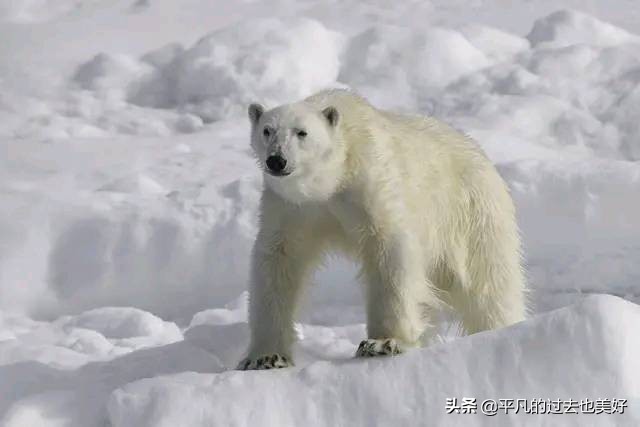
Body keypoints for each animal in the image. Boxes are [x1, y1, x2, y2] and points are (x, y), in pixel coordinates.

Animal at [238, 88, 528, 370]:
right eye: (267, 130)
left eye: (302, 132)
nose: (277, 160)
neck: (332, 178)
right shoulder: (290, 206)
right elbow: (278, 260)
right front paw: (265, 357)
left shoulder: (370, 181)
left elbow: (389, 250)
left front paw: (383, 343)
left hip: (472, 216)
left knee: (489, 286)